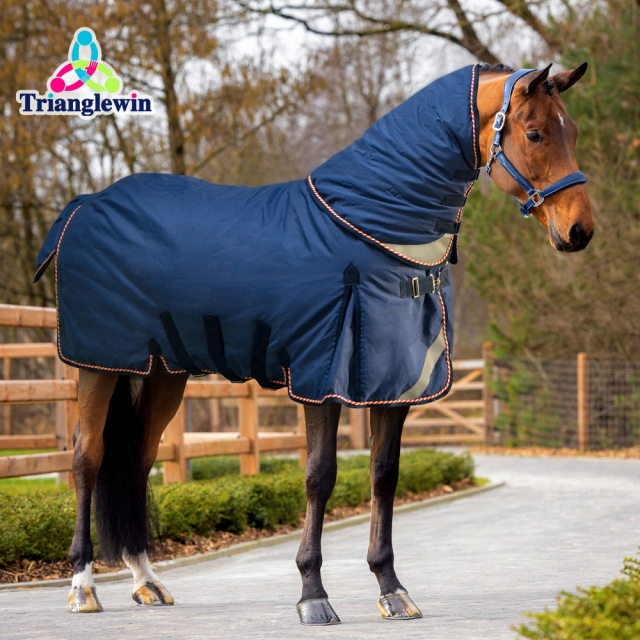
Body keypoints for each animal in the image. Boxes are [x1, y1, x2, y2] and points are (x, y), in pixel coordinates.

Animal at [33, 62, 593, 622]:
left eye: (572, 132)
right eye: (535, 133)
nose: (580, 230)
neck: (368, 230)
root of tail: (82, 207)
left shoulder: (396, 383)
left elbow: (384, 474)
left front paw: (391, 589)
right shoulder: (320, 378)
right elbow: (320, 476)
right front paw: (313, 594)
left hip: (162, 372)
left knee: (139, 459)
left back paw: (147, 581)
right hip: (99, 364)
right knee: (87, 456)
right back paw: (83, 585)